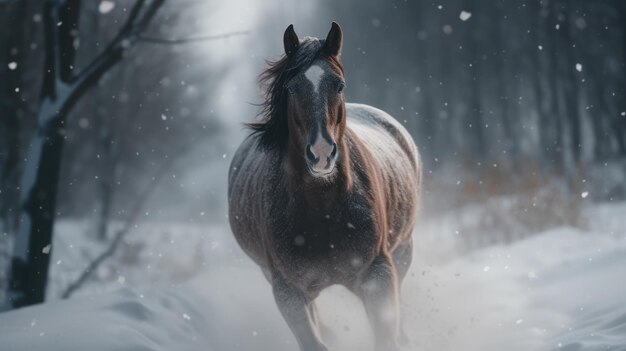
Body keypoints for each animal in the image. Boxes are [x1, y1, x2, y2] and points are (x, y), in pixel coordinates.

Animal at [227, 22, 422, 351]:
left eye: (339, 85)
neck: (324, 207)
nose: (320, 153)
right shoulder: (288, 292)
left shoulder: (378, 273)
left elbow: (385, 336)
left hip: (403, 250)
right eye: (292, 87)